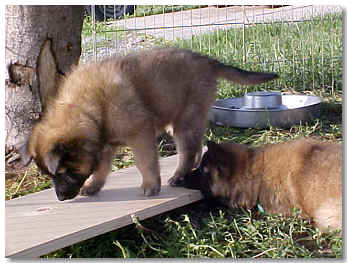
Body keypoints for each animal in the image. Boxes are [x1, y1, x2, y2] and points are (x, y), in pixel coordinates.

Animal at [21, 47, 278, 201]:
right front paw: (94, 186)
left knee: (189, 150)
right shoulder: (105, 145)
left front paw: (151, 185)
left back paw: (178, 176)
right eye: (51, 175)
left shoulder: (140, 132)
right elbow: (102, 168)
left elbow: (145, 162)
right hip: (184, 119)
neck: (87, 107)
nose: (60, 197)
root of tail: (207, 60)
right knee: (196, 148)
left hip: (185, 119)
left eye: (63, 172)